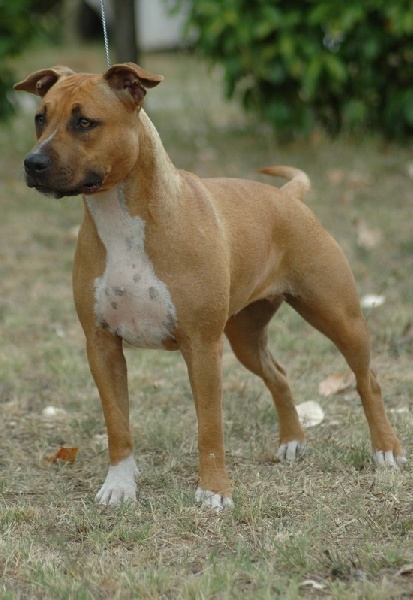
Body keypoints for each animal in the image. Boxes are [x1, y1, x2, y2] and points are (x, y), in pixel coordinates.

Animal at [14, 63, 405, 508]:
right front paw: (119, 484)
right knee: (278, 374)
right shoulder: (102, 346)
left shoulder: (202, 346)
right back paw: (292, 441)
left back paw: (386, 448)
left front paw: (214, 491)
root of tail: (288, 197)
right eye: (40, 118)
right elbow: (117, 424)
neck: (119, 216)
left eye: (84, 122)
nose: (32, 163)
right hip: (245, 336)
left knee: (367, 379)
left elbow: (210, 427)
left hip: (339, 317)